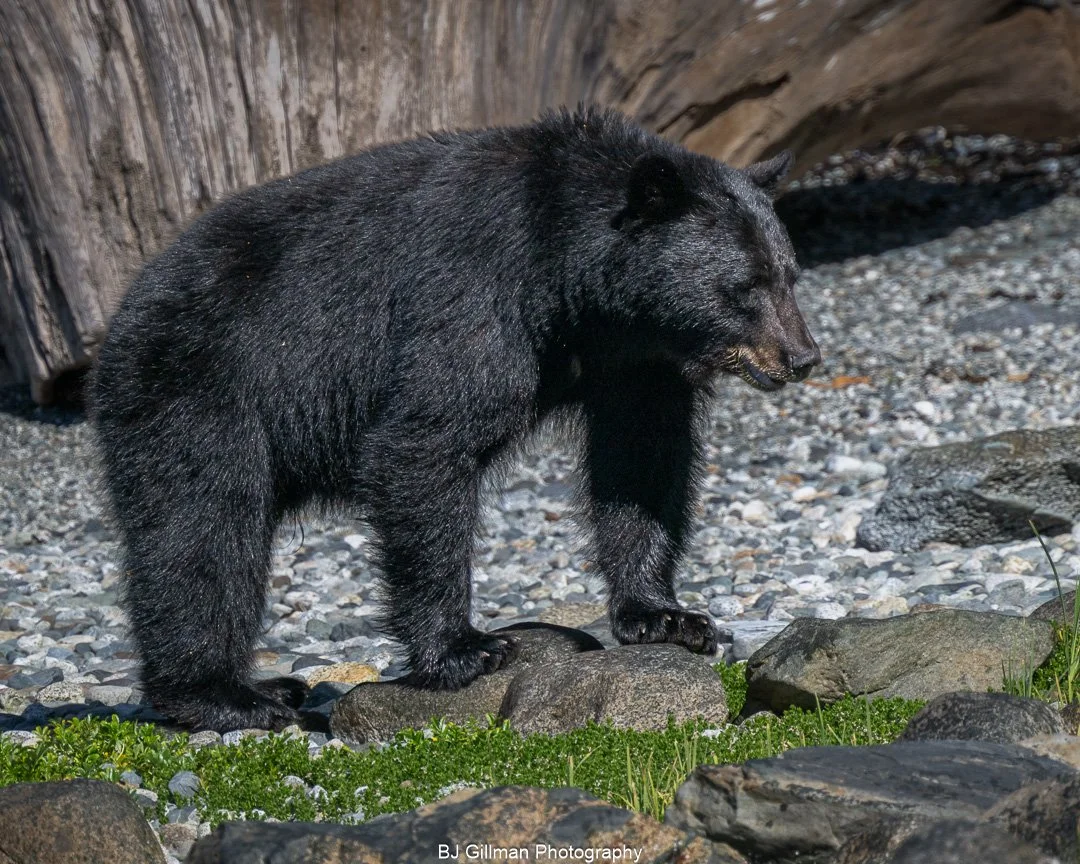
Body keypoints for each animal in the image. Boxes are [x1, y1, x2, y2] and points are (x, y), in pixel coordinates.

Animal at [90, 105, 820, 732]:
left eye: (789, 274)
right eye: (744, 286)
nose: (802, 357)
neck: (571, 278)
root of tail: (123, 312)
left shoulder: (636, 359)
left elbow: (640, 460)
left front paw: (668, 617)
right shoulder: (472, 295)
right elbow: (424, 443)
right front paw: (466, 649)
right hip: (200, 388)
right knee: (204, 526)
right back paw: (229, 695)